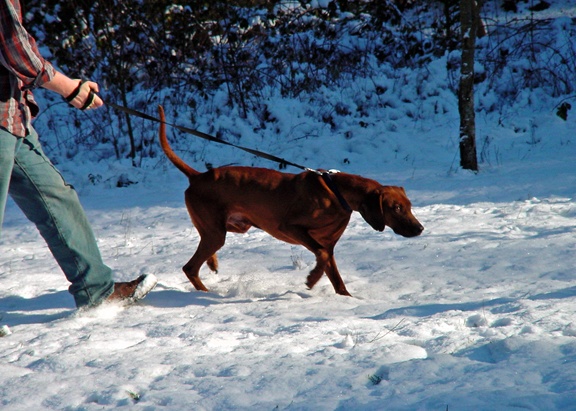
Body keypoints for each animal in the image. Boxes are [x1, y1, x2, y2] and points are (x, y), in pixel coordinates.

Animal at [158, 104, 424, 294]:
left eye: (409, 206)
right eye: (396, 208)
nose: (420, 229)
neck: (338, 193)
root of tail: (198, 176)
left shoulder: (328, 244)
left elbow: (336, 278)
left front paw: (347, 299)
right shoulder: (292, 228)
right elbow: (321, 255)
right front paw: (311, 280)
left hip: (230, 226)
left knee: (203, 250)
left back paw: (212, 264)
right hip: (216, 232)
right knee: (190, 267)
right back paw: (207, 293)